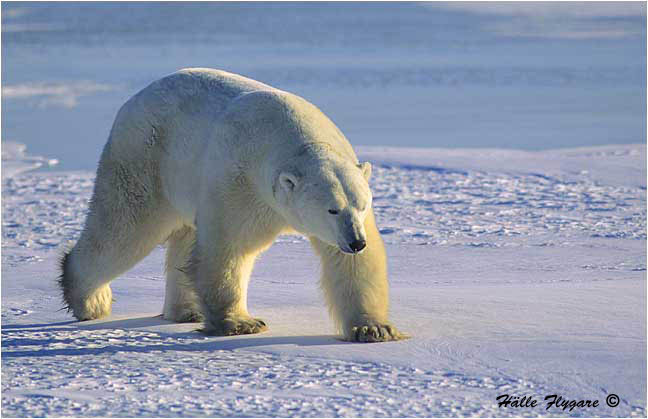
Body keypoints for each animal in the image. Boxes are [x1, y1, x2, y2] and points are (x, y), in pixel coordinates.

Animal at [59, 68, 406, 342]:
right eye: (332, 208)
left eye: (362, 205)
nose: (355, 241)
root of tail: (132, 101)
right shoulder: (241, 180)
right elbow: (230, 247)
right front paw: (241, 323)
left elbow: (351, 264)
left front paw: (374, 329)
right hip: (144, 160)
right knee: (124, 227)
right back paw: (90, 300)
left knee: (182, 237)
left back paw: (186, 310)